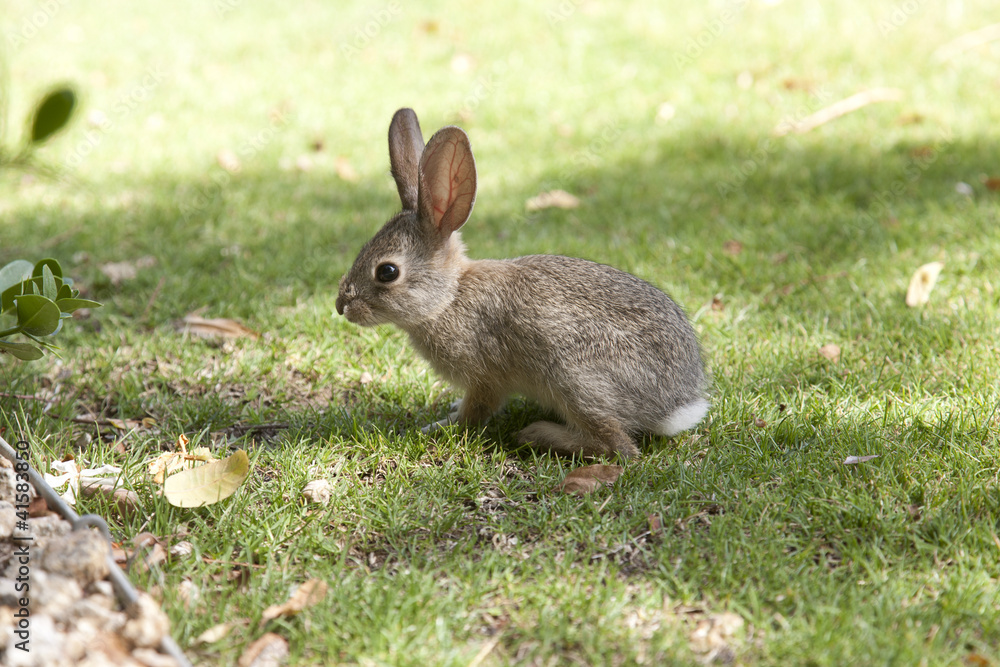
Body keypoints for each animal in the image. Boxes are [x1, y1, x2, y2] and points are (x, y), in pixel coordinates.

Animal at [335, 108, 709, 458]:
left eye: (387, 272)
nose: (342, 306)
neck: (448, 299)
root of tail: (678, 403)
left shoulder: (485, 377)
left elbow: (475, 412)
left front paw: (440, 426)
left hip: (573, 378)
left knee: (619, 446)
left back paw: (538, 434)